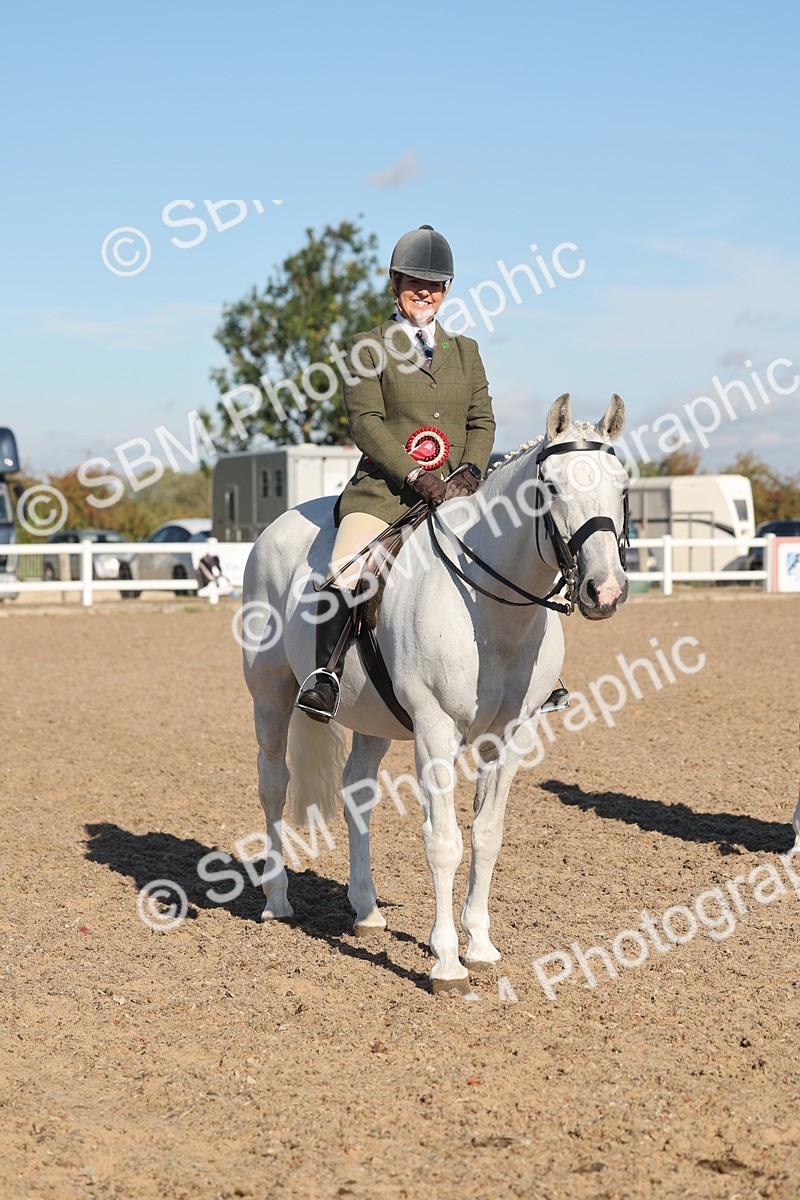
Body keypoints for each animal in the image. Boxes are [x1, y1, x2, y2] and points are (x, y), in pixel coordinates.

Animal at [241, 394, 630, 993]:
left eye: (623, 485)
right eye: (552, 487)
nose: (604, 591)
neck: (490, 608)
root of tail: (274, 529)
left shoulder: (510, 737)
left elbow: (487, 835)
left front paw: (481, 946)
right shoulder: (435, 730)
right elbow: (443, 841)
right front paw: (446, 961)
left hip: (372, 716)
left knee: (357, 794)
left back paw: (366, 910)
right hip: (271, 694)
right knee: (273, 785)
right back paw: (277, 899)